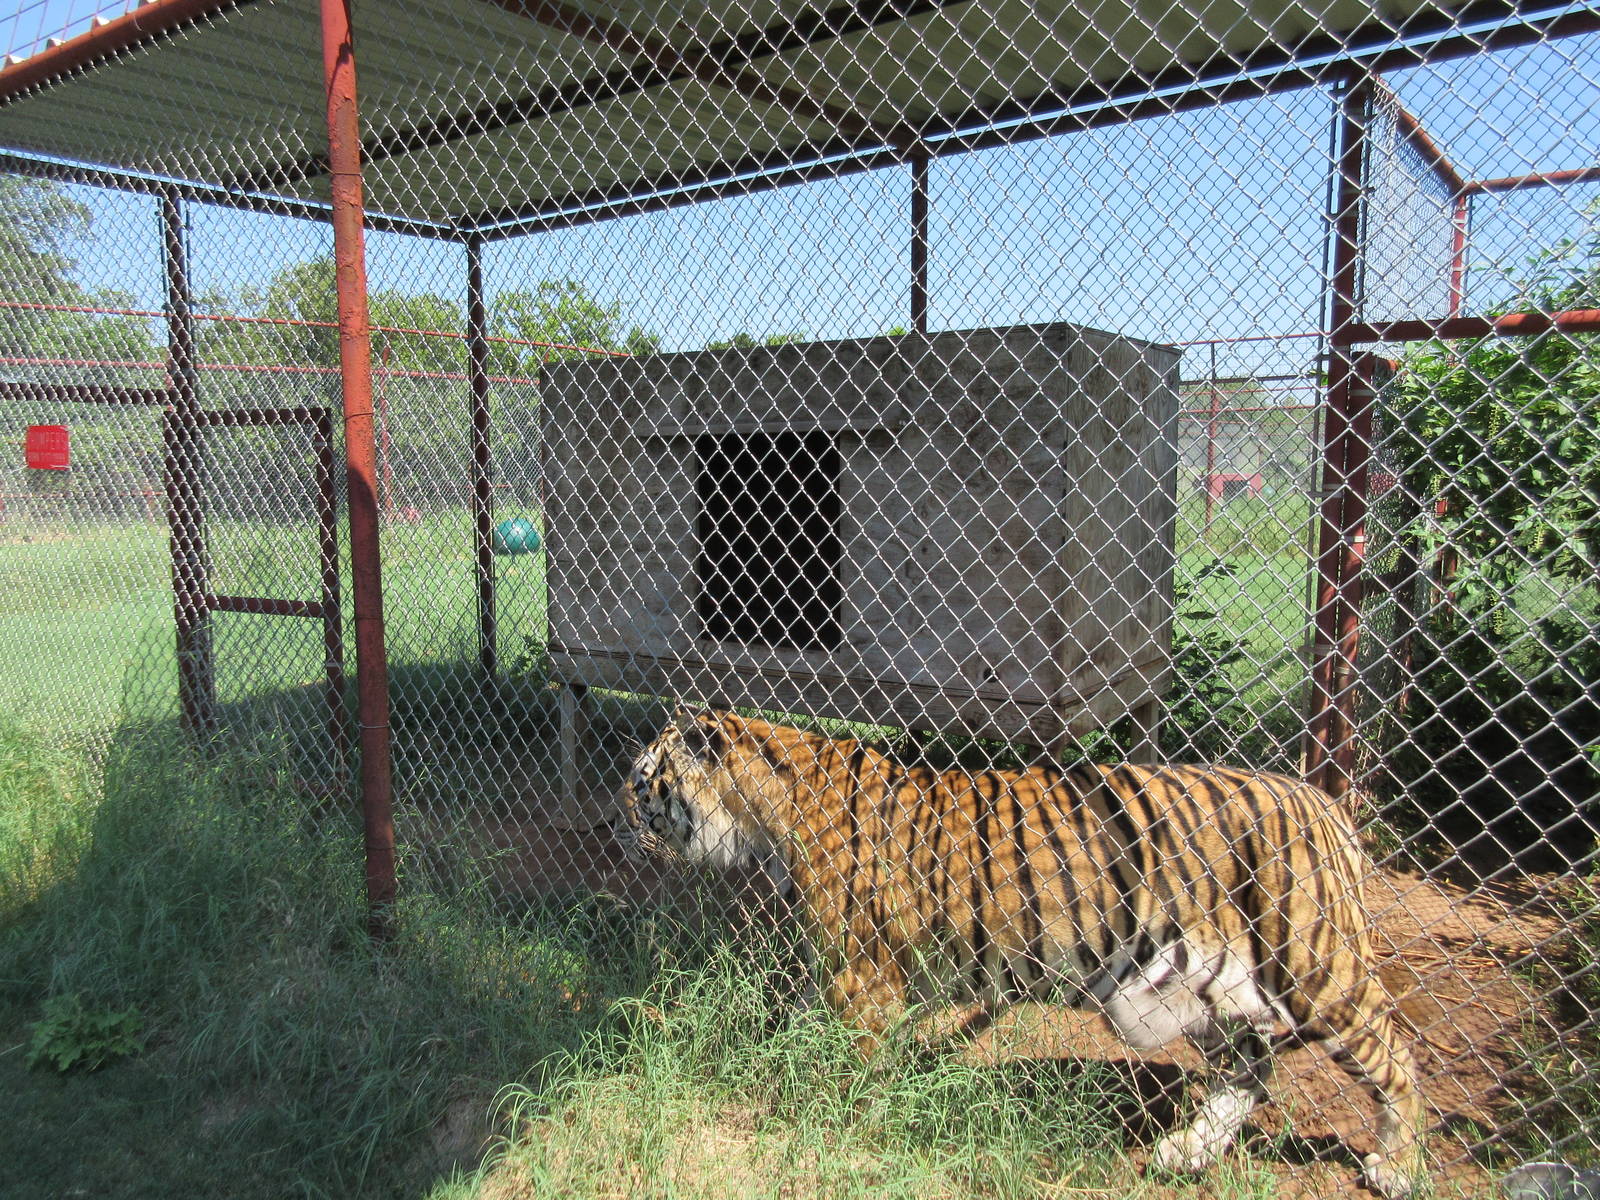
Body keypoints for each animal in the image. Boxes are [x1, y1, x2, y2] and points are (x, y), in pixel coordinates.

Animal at [621, 707, 1425, 1199]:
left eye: (642, 780)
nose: (621, 817)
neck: (762, 812)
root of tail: (1325, 803)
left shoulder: (862, 972)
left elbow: (845, 1059)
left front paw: (831, 1121)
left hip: (1312, 969)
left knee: (1394, 1054)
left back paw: (1396, 1164)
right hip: (1202, 990)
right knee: (1252, 1072)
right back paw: (1185, 1152)